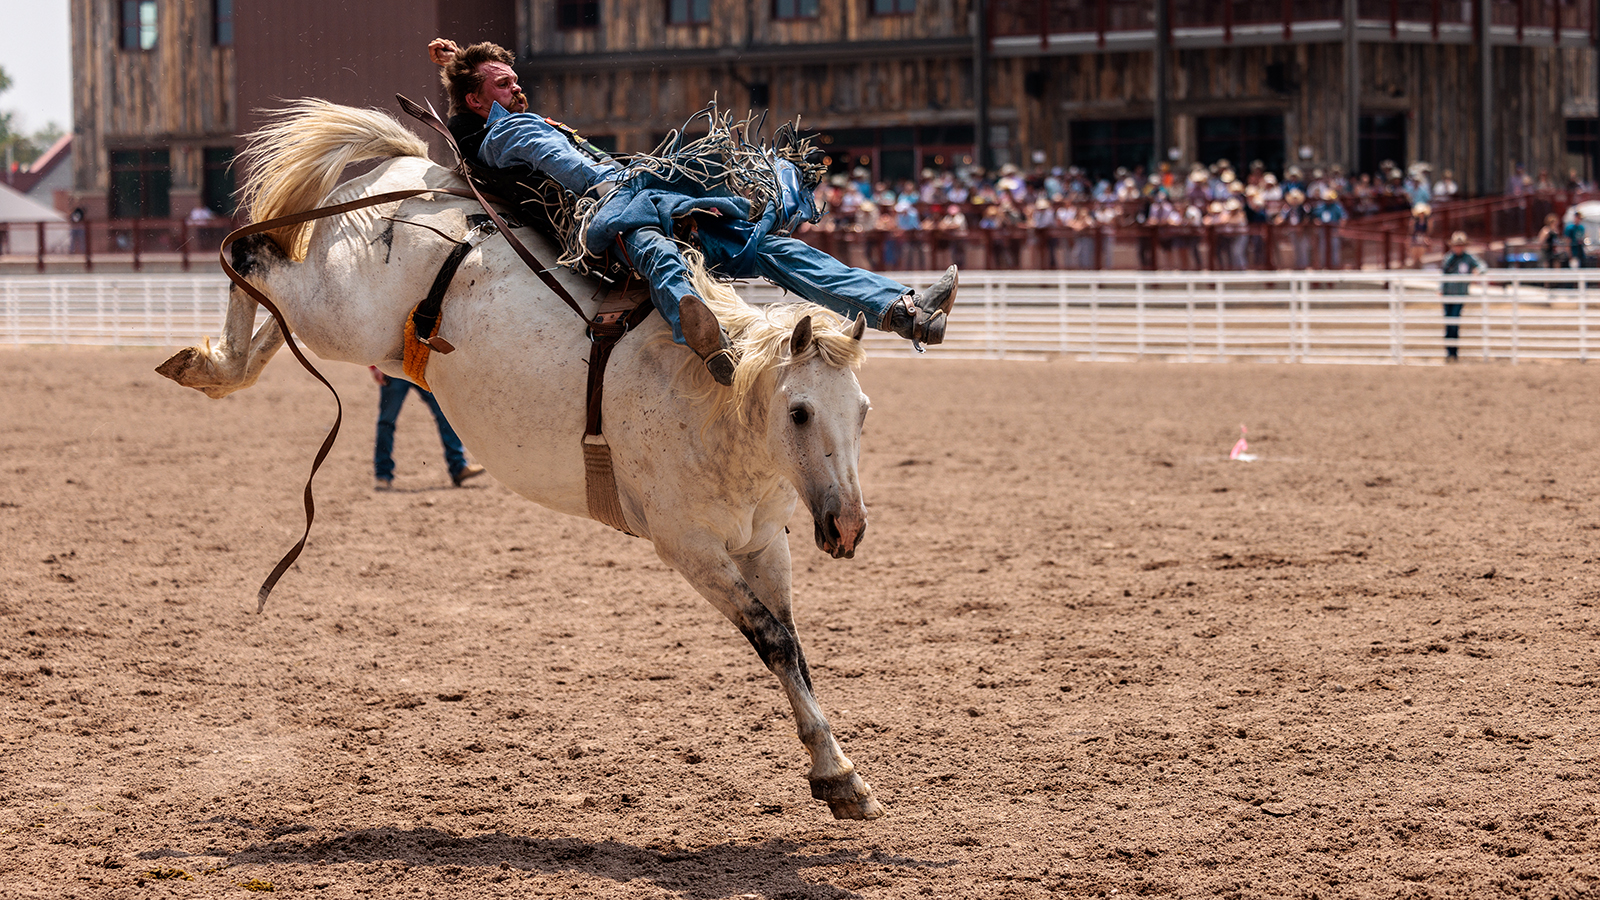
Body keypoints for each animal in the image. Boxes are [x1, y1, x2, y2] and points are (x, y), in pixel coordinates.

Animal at [159, 101, 889, 816]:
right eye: (800, 412)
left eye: (863, 410)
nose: (849, 526)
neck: (717, 397)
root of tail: (411, 170)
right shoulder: (688, 546)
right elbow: (770, 637)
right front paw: (838, 774)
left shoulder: (765, 541)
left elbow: (791, 647)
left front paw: (838, 773)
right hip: (336, 307)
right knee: (252, 256)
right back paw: (213, 364)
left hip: (344, 324)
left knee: (271, 311)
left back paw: (221, 365)